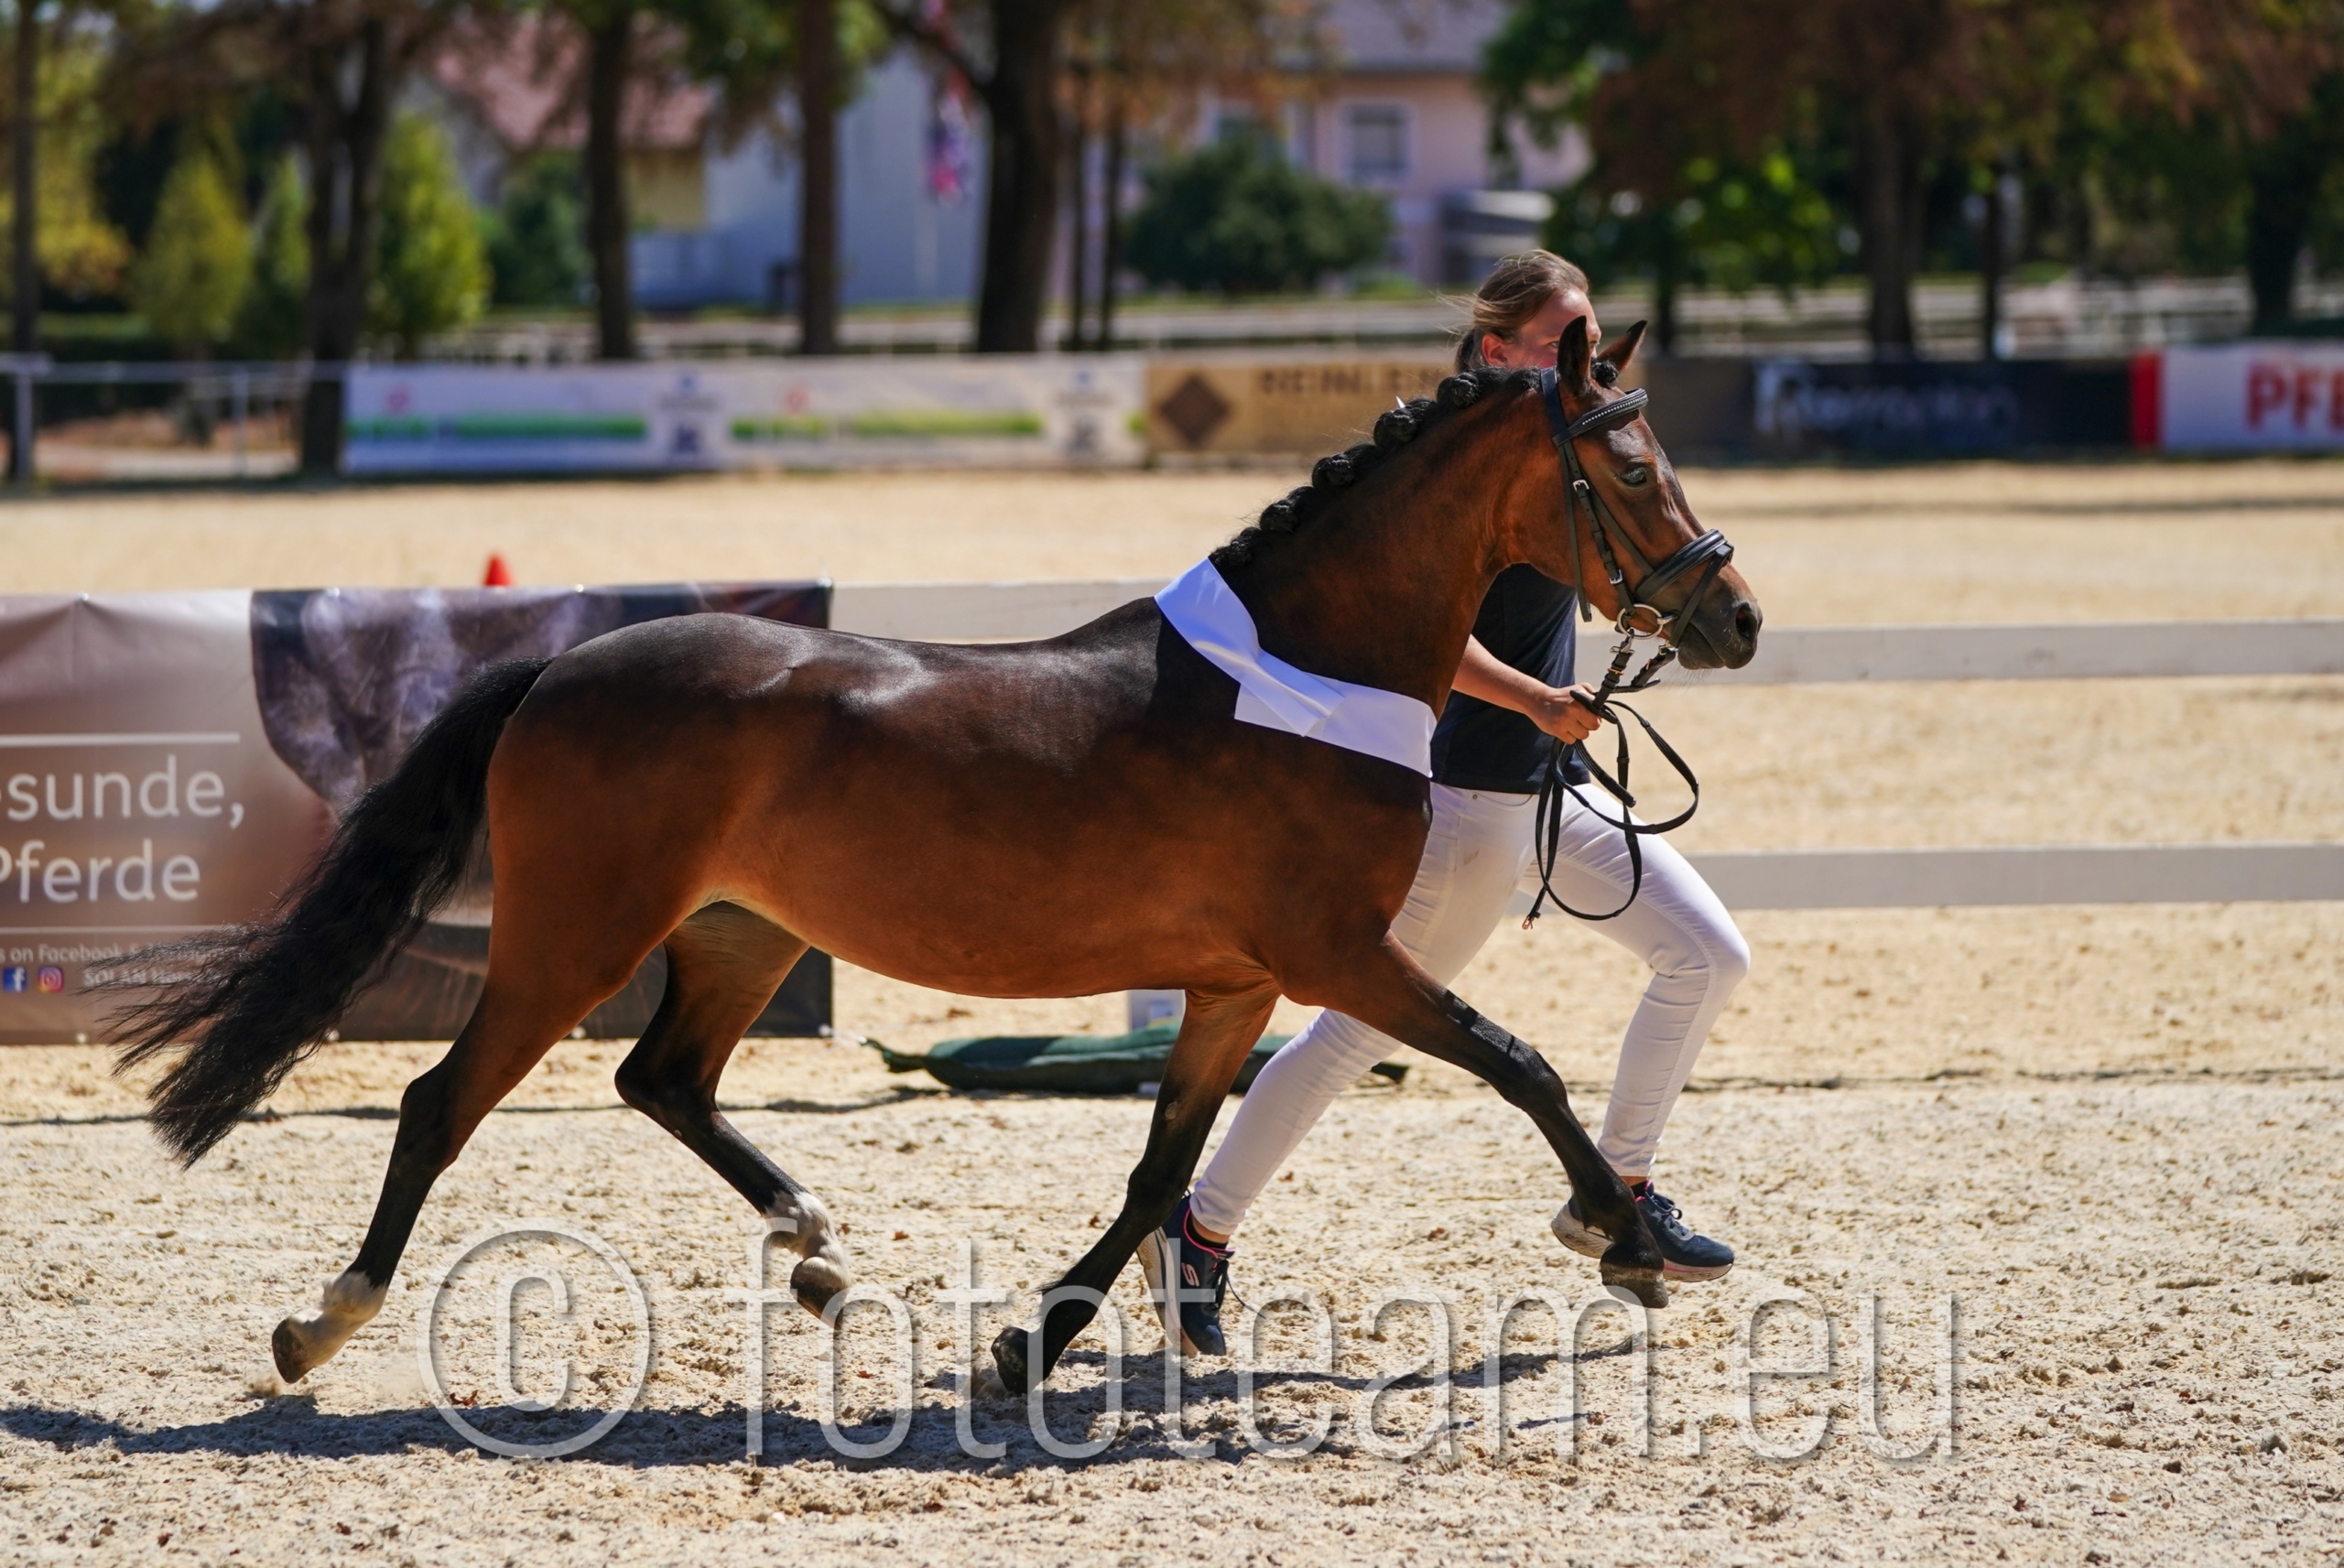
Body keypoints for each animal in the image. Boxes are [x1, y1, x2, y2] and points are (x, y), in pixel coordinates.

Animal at [116, 316, 1760, 1400]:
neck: (1308, 666)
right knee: (439, 1100)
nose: (1733, 617)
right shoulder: (1342, 953)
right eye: (1628, 468)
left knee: (663, 1077)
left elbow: (1161, 1165)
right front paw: (1631, 1236)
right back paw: (320, 1323)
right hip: (574, 936)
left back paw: (815, 1245)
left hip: (742, 931)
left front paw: (1032, 1343)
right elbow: (1522, 1065)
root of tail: (562, 666)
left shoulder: (1235, 983)